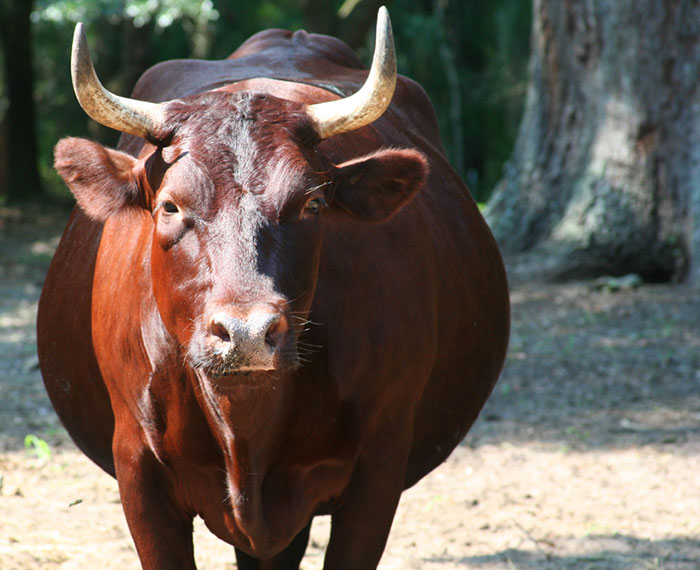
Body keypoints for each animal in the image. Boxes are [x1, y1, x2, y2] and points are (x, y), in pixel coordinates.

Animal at [37, 8, 509, 569]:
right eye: (170, 205)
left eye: (312, 203)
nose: (246, 333)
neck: (245, 425)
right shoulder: (137, 470)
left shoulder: (379, 468)